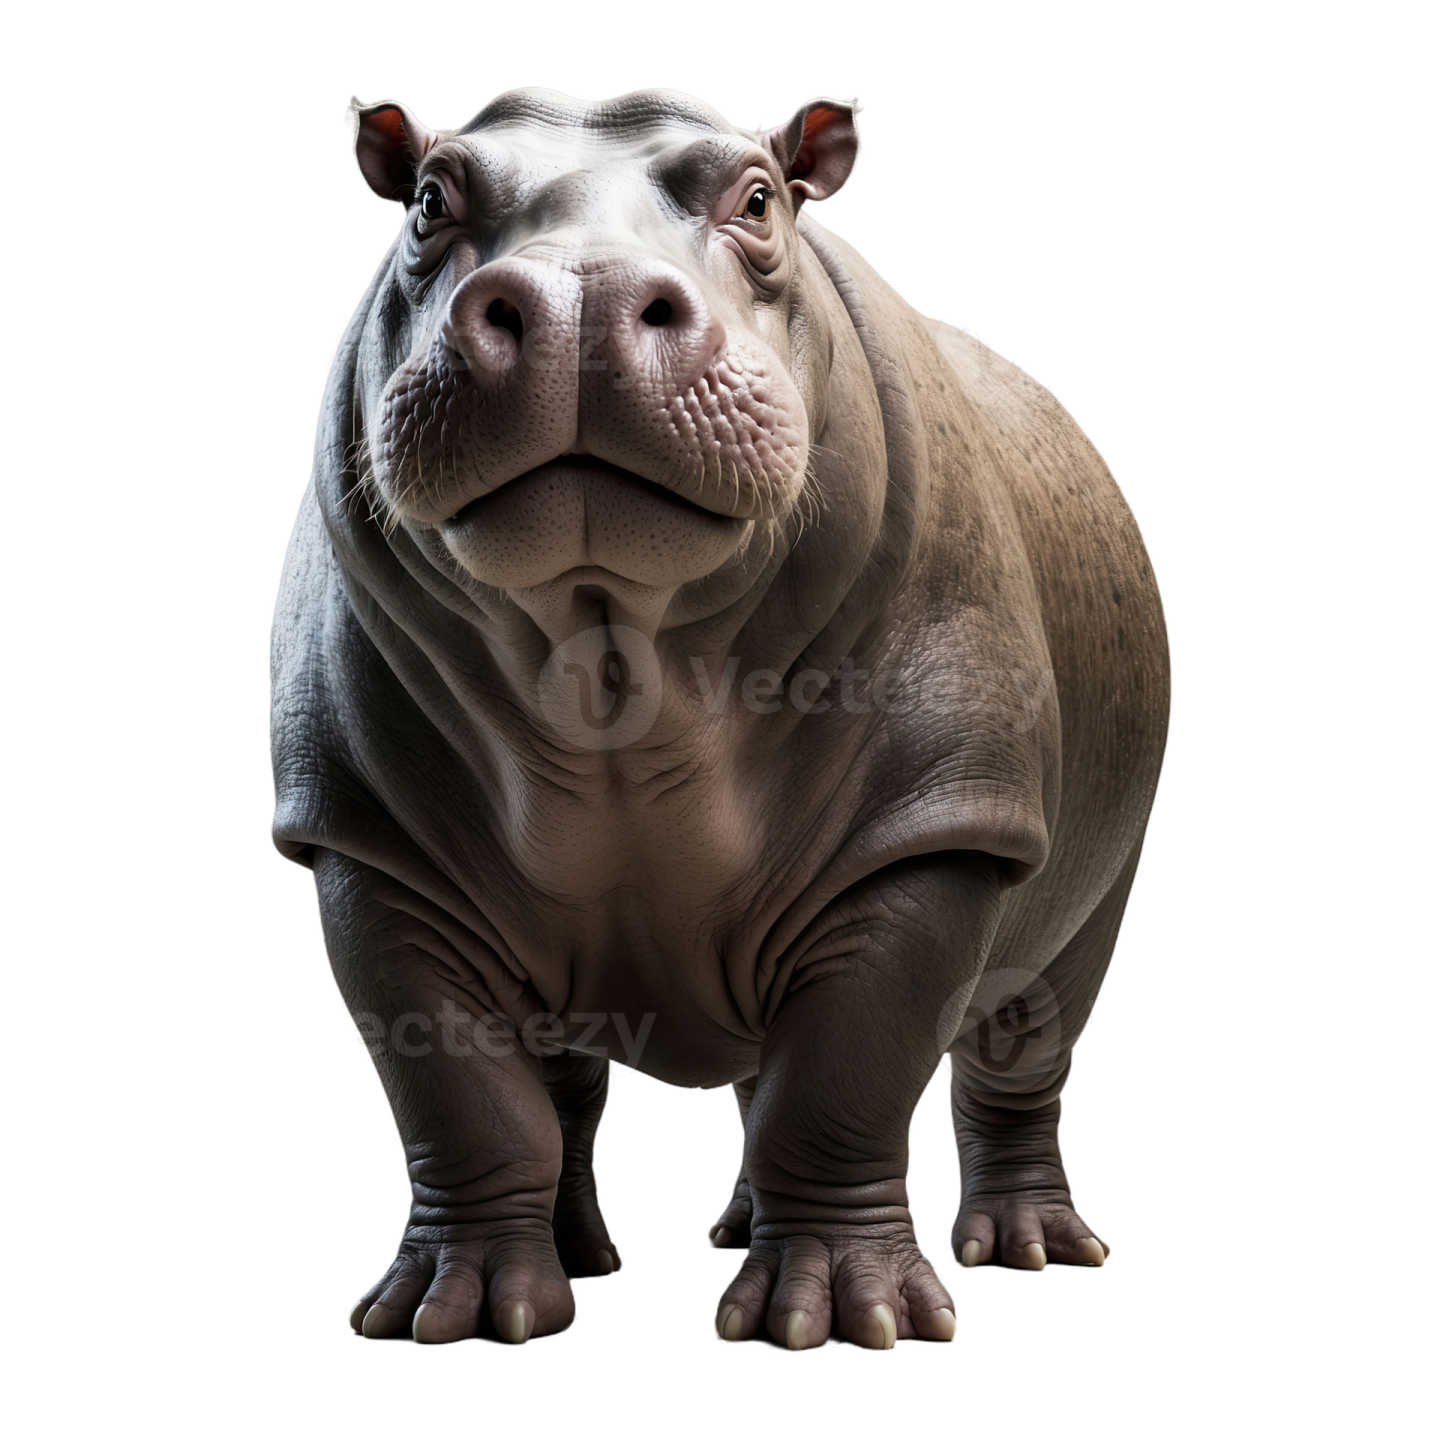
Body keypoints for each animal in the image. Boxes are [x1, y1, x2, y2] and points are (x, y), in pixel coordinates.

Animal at [268, 84, 1171, 1353]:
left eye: (757, 200)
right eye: (429, 200)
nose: (582, 297)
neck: (613, 661)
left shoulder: (927, 832)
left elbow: (841, 1077)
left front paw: (842, 1327)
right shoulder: (371, 847)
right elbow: (462, 1098)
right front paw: (459, 1316)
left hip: (1090, 879)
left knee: (1020, 1043)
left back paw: (1034, 1253)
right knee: (601, 1084)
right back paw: (612, 1254)